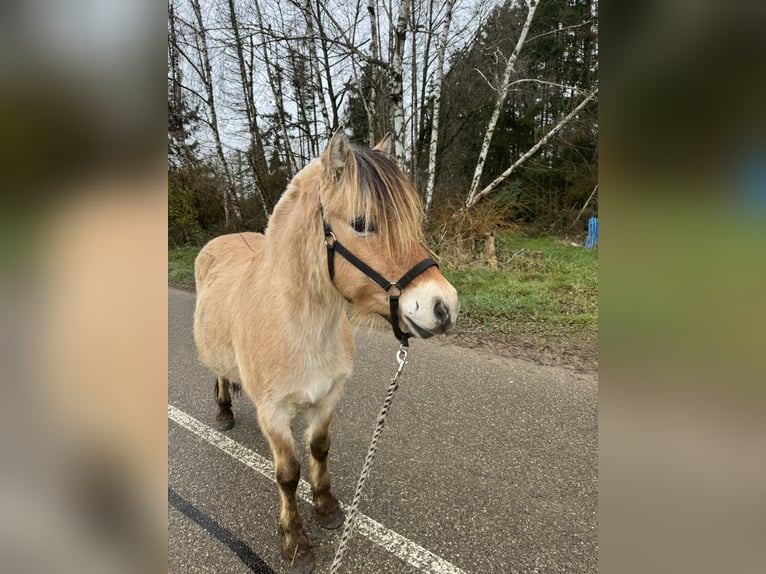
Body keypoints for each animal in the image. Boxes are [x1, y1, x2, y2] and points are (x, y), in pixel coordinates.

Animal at [195, 134, 464, 572]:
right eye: (362, 223)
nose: (445, 307)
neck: (299, 328)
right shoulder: (274, 413)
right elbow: (288, 474)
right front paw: (295, 541)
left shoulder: (328, 398)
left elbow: (319, 449)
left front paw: (327, 507)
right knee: (219, 373)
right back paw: (223, 413)